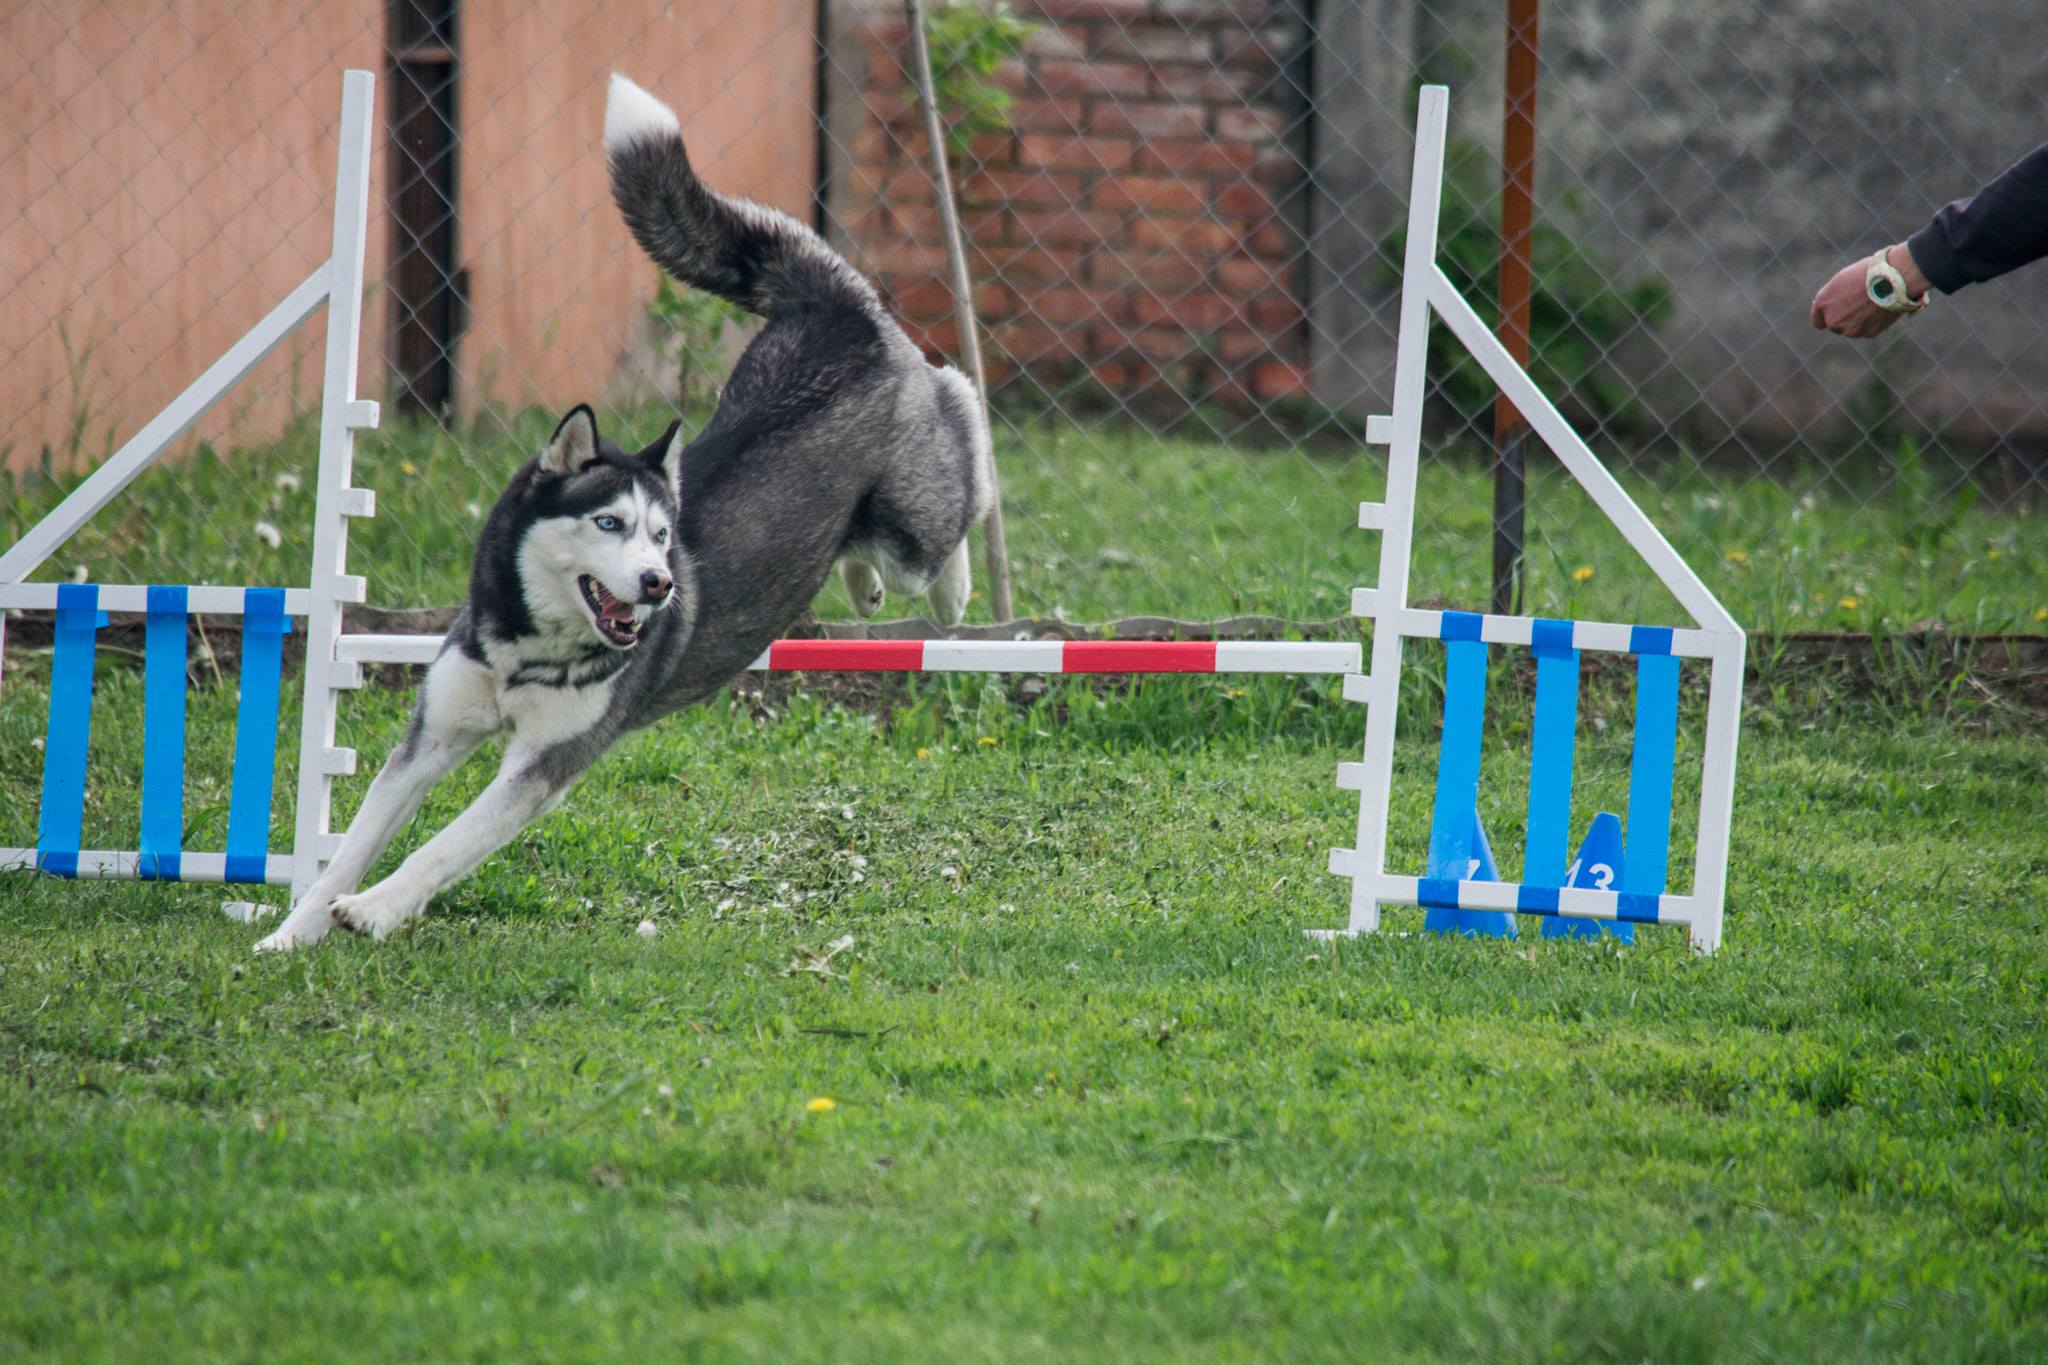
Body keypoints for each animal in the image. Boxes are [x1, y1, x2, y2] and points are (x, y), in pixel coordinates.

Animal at [255, 74, 994, 950]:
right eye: (609, 523)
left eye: (663, 536)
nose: (657, 584)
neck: (530, 651)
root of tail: (834, 307)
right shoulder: (432, 735)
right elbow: (350, 846)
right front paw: (289, 934)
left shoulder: (544, 766)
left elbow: (440, 845)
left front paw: (373, 909)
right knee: (876, 532)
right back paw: (861, 584)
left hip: (919, 514)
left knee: (962, 428)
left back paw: (955, 586)